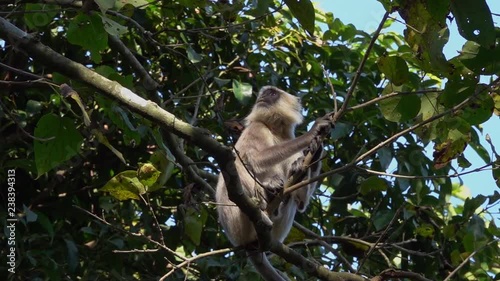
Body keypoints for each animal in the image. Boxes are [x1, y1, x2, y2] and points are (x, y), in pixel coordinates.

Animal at [214, 85, 328, 280]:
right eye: (264, 94)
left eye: (272, 93)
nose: (262, 97)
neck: (276, 131)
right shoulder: (256, 128)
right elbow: (255, 159)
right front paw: (312, 132)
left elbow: (302, 202)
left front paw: (316, 151)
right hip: (237, 220)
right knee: (236, 166)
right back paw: (267, 195)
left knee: (293, 198)